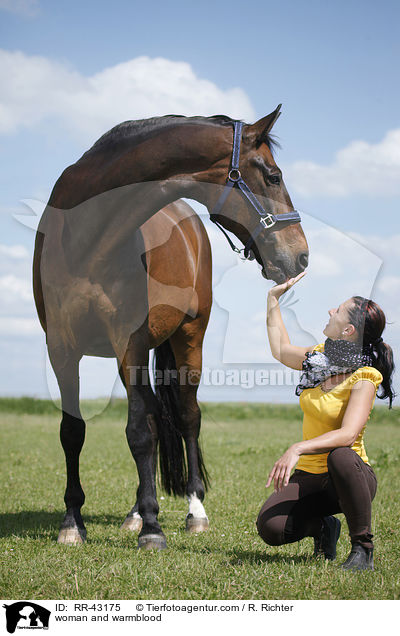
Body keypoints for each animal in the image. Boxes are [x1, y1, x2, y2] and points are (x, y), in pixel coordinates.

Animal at [32, 107, 308, 548]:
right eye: (273, 176)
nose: (301, 256)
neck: (87, 236)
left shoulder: (129, 343)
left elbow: (140, 432)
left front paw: (153, 527)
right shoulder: (62, 347)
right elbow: (73, 430)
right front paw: (73, 521)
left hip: (187, 339)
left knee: (186, 416)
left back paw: (193, 511)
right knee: (155, 421)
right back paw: (134, 513)